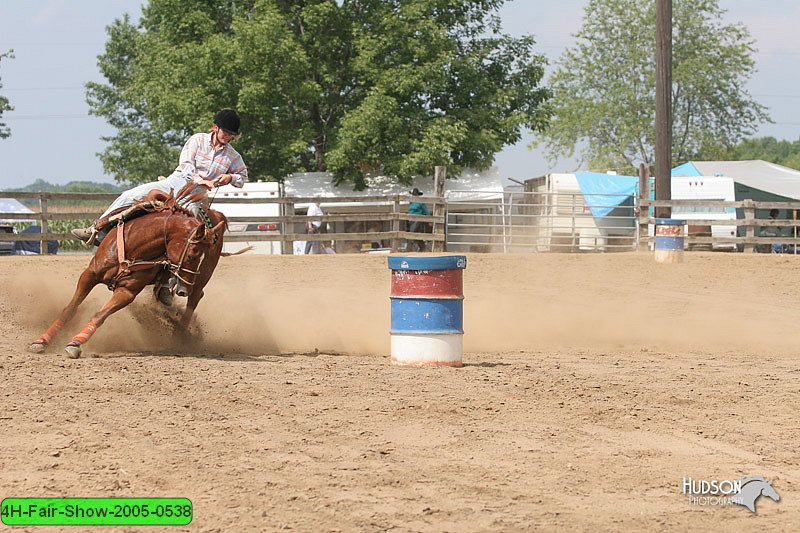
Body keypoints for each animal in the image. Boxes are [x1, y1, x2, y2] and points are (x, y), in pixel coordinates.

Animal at [29, 192, 227, 358]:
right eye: (192, 255)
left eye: (202, 256)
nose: (183, 290)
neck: (135, 245)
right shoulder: (90, 274)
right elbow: (70, 309)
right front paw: (42, 341)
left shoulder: (127, 292)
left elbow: (99, 316)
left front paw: (75, 343)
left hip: (200, 280)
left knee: (195, 297)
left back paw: (179, 335)